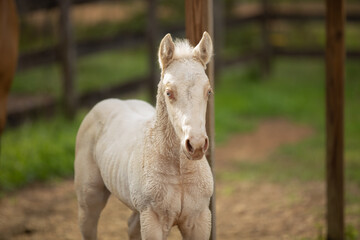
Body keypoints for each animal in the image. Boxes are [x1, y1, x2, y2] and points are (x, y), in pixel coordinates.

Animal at [74, 31, 212, 240]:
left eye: (208, 91)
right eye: (169, 92)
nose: (195, 145)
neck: (180, 172)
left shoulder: (199, 219)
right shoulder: (153, 219)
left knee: (131, 225)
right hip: (90, 199)